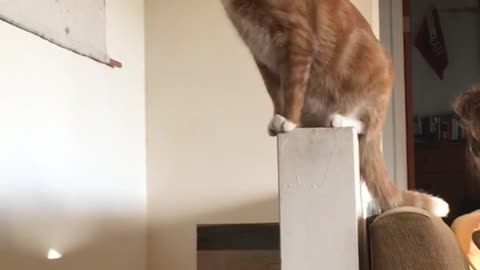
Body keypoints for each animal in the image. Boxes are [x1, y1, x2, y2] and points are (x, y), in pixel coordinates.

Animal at [221, 0, 450, 216]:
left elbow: (293, 89)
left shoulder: (297, 39)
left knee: (365, 125)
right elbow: (276, 94)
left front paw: (289, 120)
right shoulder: (263, 58)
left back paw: (340, 119)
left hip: (372, 77)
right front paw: (279, 116)